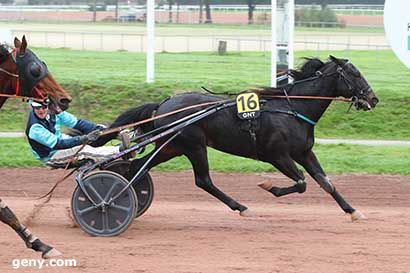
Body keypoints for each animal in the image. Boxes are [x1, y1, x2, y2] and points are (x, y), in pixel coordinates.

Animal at [95, 55, 378, 221]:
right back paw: (240, 206)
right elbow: (300, 183)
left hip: (171, 147)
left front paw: (353, 211)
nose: (373, 99)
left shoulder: (304, 152)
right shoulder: (277, 155)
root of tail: (165, 103)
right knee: (203, 180)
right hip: (194, 146)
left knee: (136, 169)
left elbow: (325, 182)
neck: (293, 107)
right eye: (354, 74)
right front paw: (269, 186)